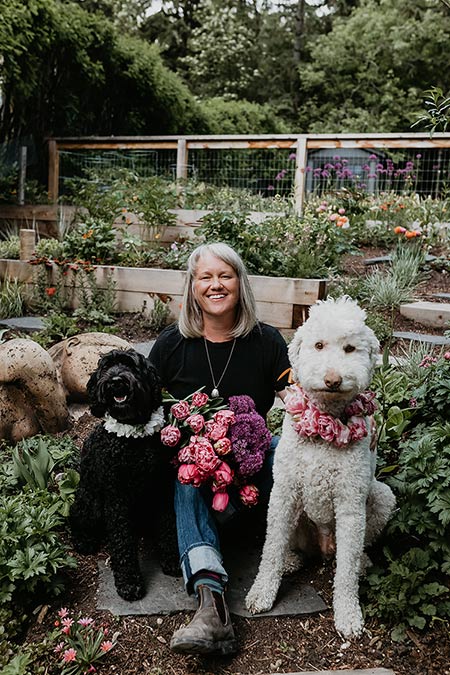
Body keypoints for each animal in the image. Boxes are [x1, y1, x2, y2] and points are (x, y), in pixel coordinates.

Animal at [69, 348, 178, 604]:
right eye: (106, 367)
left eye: (130, 365)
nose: (116, 381)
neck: (133, 440)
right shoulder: (116, 498)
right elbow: (122, 542)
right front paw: (129, 583)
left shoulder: (161, 488)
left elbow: (168, 525)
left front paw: (172, 559)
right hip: (90, 501)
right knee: (76, 518)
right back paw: (84, 540)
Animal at [246, 298, 398, 640]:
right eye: (318, 345)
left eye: (350, 348)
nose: (333, 379)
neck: (324, 428)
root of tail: (324, 546)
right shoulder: (284, 492)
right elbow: (271, 548)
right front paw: (262, 592)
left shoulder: (351, 504)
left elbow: (345, 574)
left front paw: (348, 615)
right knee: (291, 547)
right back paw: (290, 560)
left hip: (381, 498)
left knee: (352, 552)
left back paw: (361, 562)